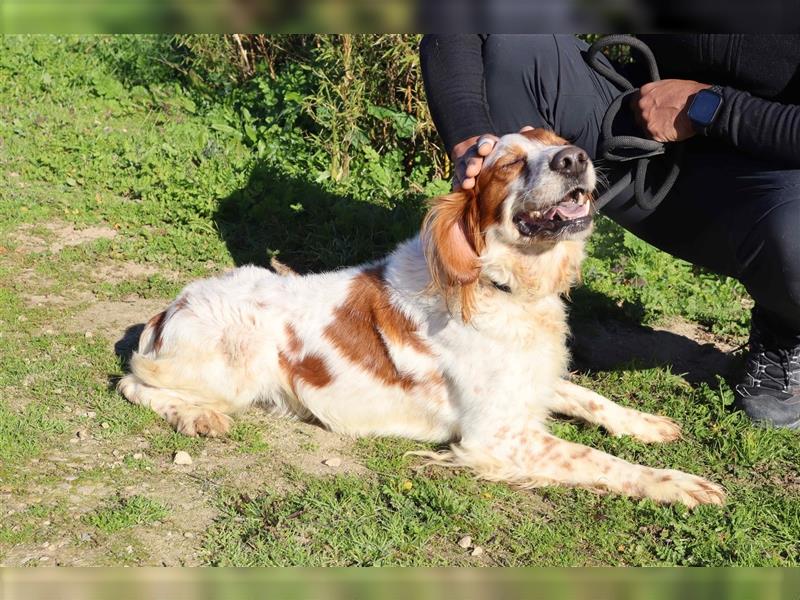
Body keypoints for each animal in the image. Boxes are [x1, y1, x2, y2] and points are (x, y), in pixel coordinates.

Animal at [117, 130, 724, 506]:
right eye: (509, 163)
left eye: (557, 142)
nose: (575, 158)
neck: (502, 286)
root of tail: (170, 308)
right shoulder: (495, 436)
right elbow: (595, 458)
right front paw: (676, 483)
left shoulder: (529, 384)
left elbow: (590, 398)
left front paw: (647, 424)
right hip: (230, 365)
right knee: (132, 383)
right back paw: (196, 416)